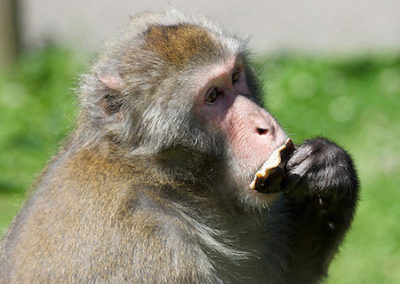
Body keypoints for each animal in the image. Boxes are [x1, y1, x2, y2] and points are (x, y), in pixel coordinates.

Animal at [0, 10, 358, 282]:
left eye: (235, 76)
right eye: (212, 96)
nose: (264, 126)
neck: (163, 180)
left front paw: (329, 167)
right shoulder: (150, 248)